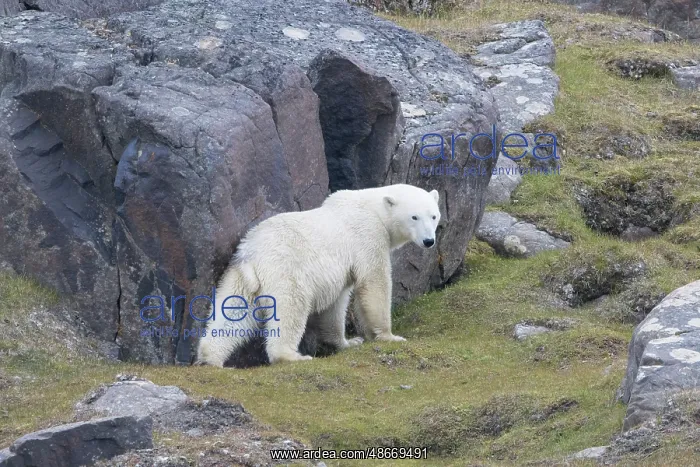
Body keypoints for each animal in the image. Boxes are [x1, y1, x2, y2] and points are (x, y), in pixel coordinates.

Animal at [196, 184, 441, 367]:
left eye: (434, 216)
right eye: (414, 217)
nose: (429, 241)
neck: (373, 208)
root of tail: (253, 254)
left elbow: (336, 303)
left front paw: (348, 342)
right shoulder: (368, 237)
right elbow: (374, 282)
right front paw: (389, 336)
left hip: (239, 275)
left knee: (232, 312)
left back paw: (209, 357)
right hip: (285, 271)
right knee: (291, 308)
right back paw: (291, 356)